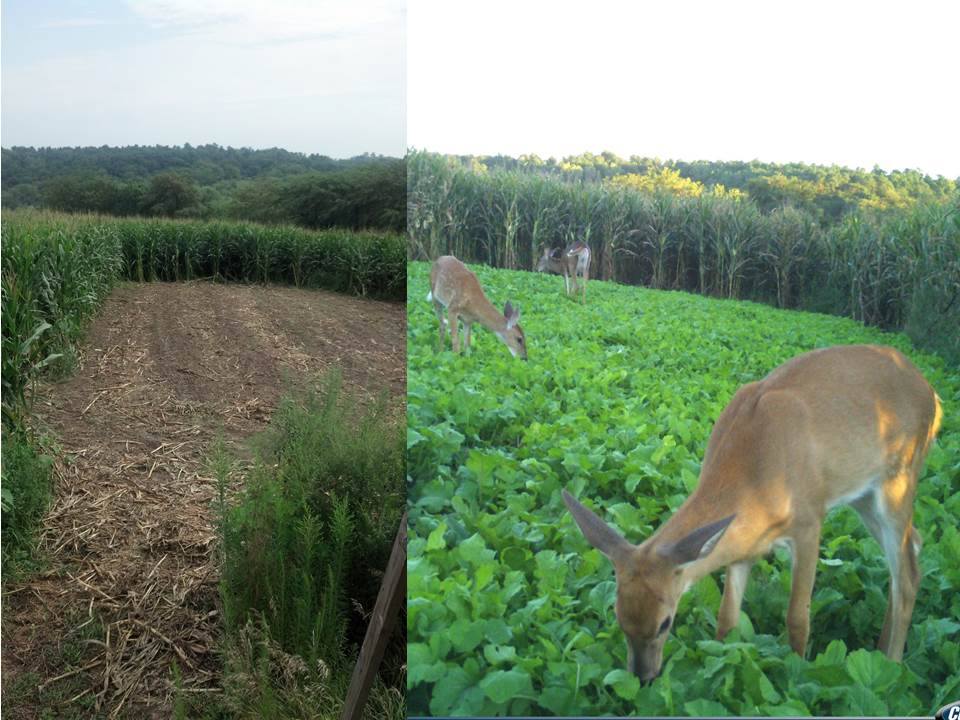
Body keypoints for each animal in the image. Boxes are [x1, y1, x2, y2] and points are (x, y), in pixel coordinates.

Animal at [562, 344, 942, 683]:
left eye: (665, 623)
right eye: (618, 618)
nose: (643, 678)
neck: (756, 474)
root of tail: (934, 396)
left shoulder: (809, 521)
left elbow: (797, 619)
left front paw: (796, 676)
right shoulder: (741, 545)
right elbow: (726, 621)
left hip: (899, 480)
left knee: (907, 574)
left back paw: (892, 666)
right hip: (864, 496)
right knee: (913, 549)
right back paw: (879, 650)